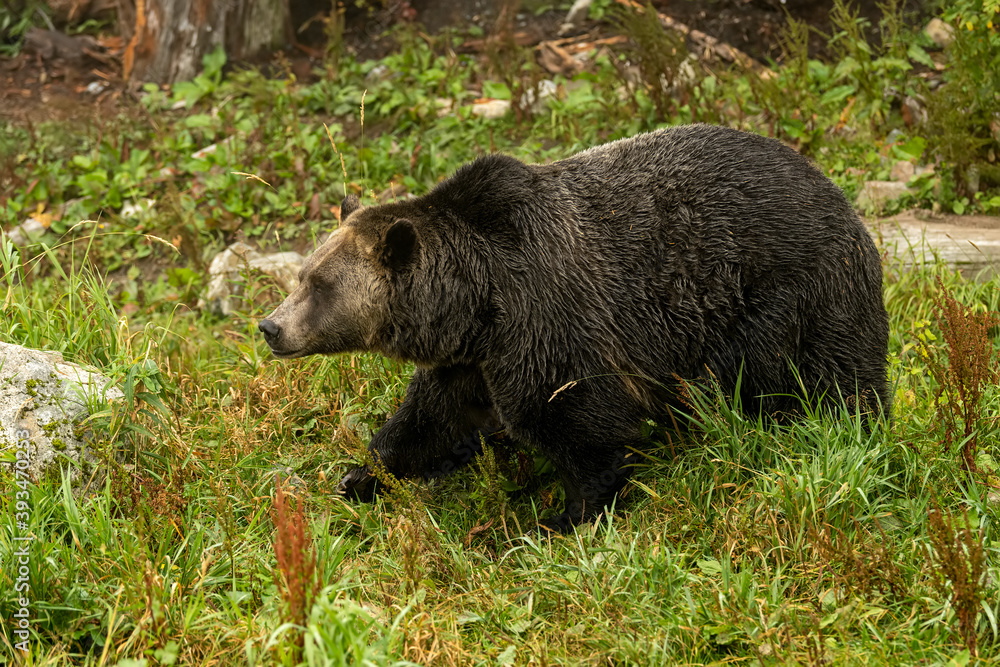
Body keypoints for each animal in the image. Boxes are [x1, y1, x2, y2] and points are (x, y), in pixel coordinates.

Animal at [260, 125, 892, 532]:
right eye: (302, 273)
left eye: (320, 286)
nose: (270, 326)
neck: (477, 300)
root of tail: (842, 201)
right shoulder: (472, 358)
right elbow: (429, 419)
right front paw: (358, 477)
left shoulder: (549, 318)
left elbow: (581, 422)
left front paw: (560, 516)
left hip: (784, 296)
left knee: (819, 380)